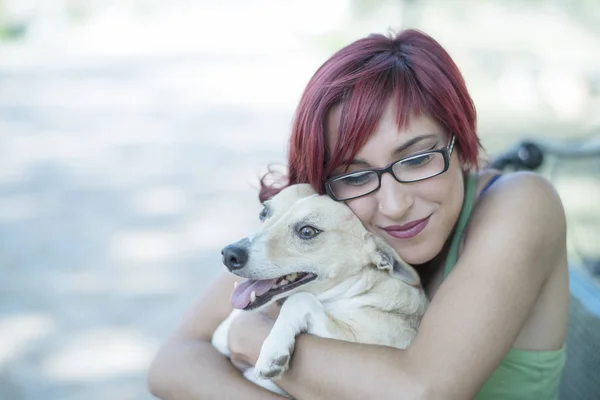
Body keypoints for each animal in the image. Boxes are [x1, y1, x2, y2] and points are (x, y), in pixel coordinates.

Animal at [211, 184, 426, 396]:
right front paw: (223, 332)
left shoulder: (357, 339)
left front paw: (272, 351)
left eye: (307, 231)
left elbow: (299, 299)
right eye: (263, 213)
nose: (229, 254)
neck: (356, 286)